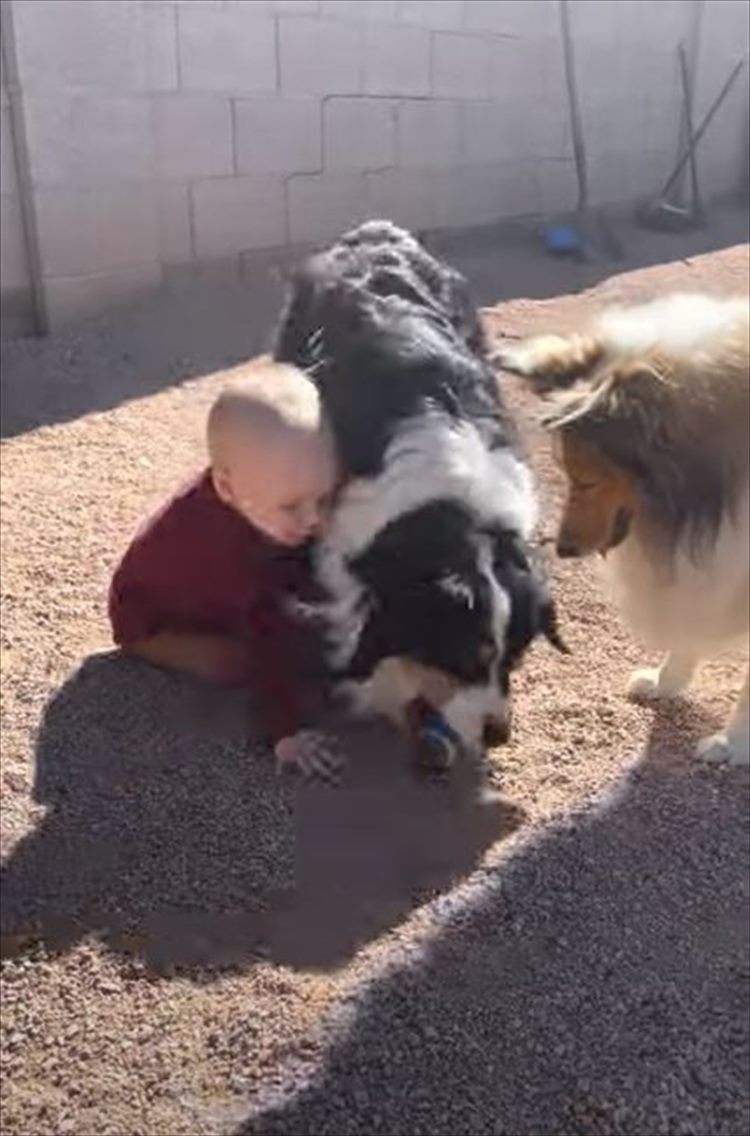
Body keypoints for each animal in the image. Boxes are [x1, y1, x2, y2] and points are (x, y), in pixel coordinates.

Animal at [275, 221, 568, 754]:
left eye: (515, 658)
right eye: (466, 658)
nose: (498, 736)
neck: (454, 512)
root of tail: (377, 230)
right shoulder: (349, 545)